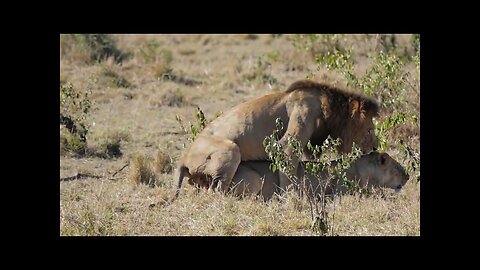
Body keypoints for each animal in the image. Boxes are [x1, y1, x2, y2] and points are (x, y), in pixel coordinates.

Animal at [172, 80, 378, 198]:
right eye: (369, 130)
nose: (375, 148)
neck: (328, 109)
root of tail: (183, 159)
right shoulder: (293, 135)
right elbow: (289, 177)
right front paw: (293, 200)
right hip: (231, 150)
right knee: (216, 193)